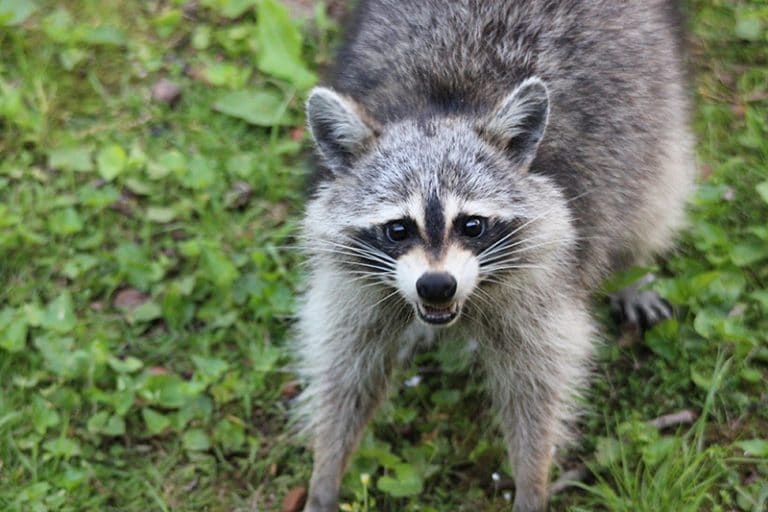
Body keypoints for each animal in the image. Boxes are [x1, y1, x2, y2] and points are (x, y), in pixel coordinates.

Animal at [294, 1, 694, 510]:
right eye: (398, 229)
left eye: (472, 225)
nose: (436, 286)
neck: (442, 107)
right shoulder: (355, 283)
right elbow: (346, 369)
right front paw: (326, 470)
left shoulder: (545, 275)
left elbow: (538, 381)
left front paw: (532, 479)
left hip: (653, 102)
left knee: (653, 195)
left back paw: (634, 269)